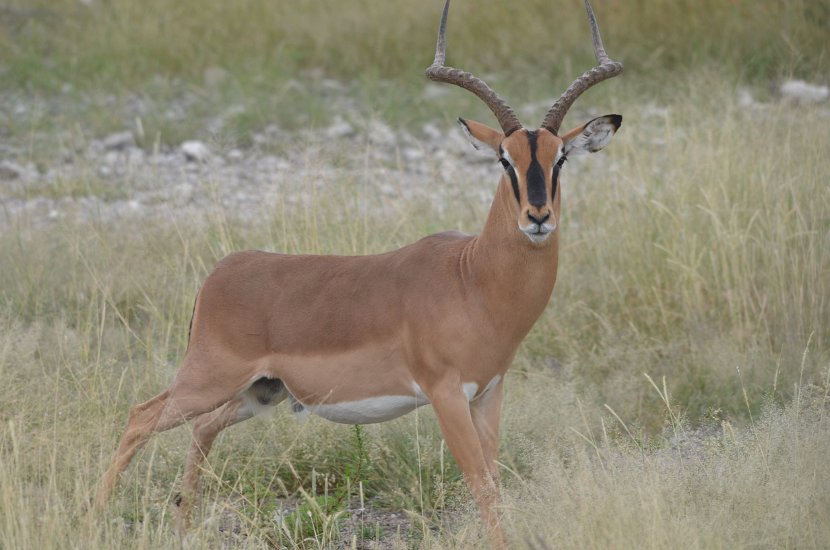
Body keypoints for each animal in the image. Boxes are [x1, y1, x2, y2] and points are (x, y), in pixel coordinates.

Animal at [94, 0, 622, 546]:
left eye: (560, 158)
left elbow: (494, 483)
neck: (473, 278)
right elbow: (481, 486)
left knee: (200, 429)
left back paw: (181, 526)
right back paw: (95, 516)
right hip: (207, 379)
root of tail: (221, 271)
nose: (538, 216)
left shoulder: (489, 393)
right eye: (504, 160)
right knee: (139, 417)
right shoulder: (446, 395)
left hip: (258, 392)